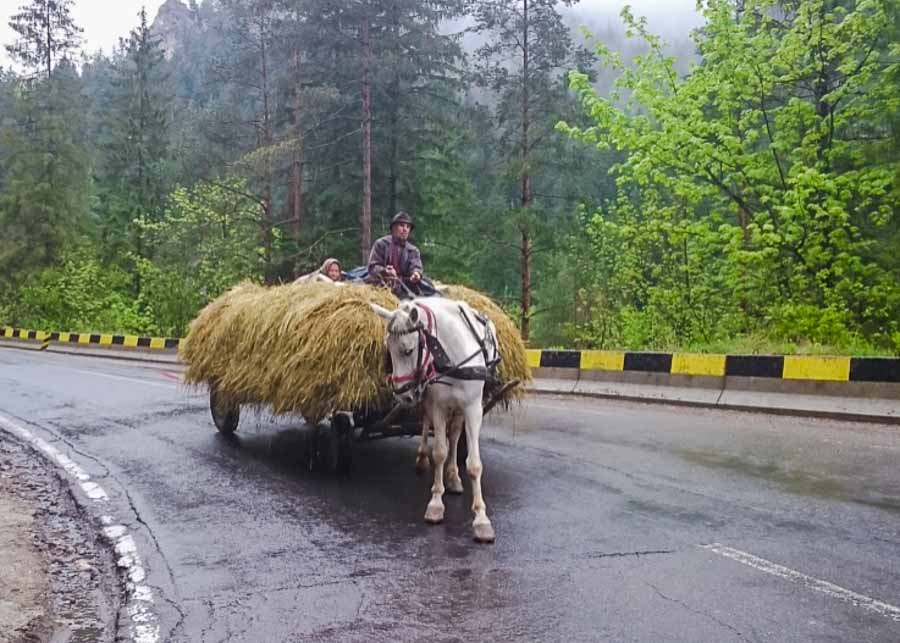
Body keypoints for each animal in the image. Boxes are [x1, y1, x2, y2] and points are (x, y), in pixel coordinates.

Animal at [370, 298, 500, 544]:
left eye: (408, 350)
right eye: (387, 350)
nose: (402, 396)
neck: (452, 358)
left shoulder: (473, 408)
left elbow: (474, 464)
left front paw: (481, 519)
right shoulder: (438, 405)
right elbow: (439, 451)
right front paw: (436, 504)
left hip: (455, 407)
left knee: (455, 434)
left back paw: (453, 475)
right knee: (427, 423)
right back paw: (423, 458)